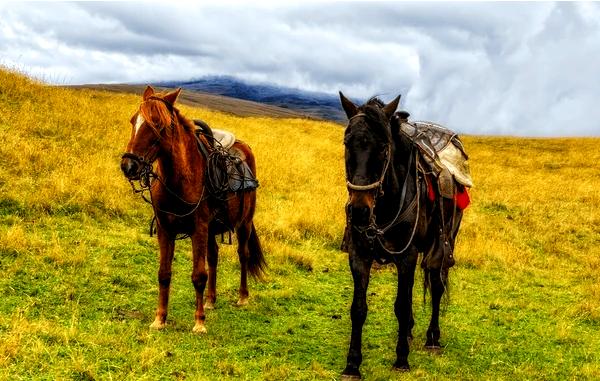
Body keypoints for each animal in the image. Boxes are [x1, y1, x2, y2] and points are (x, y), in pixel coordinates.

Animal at [120, 85, 264, 332]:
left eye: (158, 124)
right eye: (133, 120)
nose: (129, 165)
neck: (180, 180)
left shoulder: (198, 229)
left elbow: (198, 275)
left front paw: (199, 323)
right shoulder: (166, 229)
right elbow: (164, 273)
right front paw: (160, 319)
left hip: (243, 224)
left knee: (242, 255)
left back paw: (242, 297)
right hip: (212, 229)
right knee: (213, 256)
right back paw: (210, 300)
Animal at [338, 91, 464, 378]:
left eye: (384, 148)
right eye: (347, 143)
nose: (359, 211)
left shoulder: (407, 256)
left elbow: (402, 305)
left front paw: (401, 359)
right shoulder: (359, 254)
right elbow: (358, 308)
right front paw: (352, 364)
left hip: (441, 246)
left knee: (437, 285)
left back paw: (432, 338)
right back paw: (408, 332)